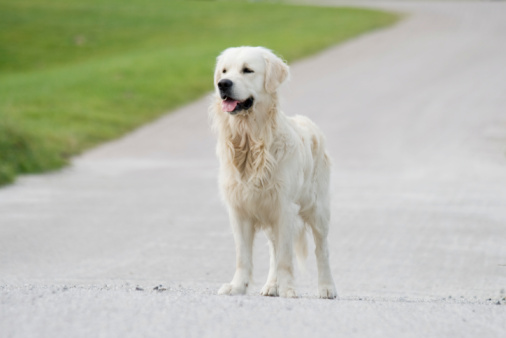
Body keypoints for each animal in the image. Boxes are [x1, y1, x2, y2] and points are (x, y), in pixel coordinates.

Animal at [209, 45, 336, 298]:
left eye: (247, 70)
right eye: (224, 71)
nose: (223, 84)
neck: (251, 141)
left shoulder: (284, 208)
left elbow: (286, 258)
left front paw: (288, 289)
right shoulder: (240, 209)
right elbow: (243, 257)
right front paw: (237, 286)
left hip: (318, 209)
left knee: (322, 249)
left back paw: (327, 287)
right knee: (273, 250)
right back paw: (271, 285)